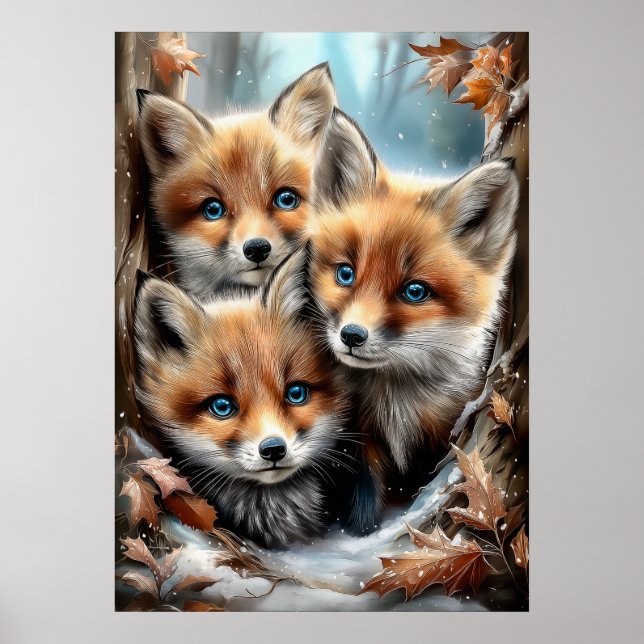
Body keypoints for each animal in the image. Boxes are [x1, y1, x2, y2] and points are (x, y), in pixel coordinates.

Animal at [306, 108, 520, 531]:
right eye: (345, 274)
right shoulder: (358, 444)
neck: (397, 405)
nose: (351, 335)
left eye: (415, 292)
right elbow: (363, 510)